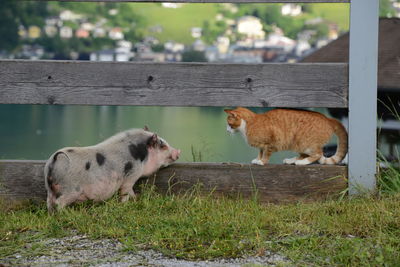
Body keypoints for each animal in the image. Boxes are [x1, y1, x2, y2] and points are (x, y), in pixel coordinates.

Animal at [44, 128, 180, 214]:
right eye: (163, 146)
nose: (178, 151)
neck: (140, 156)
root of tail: (53, 161)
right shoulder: (131, 176)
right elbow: (126, 192)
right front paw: (127, 203)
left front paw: (136, 199)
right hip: (70, 190)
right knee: (59, 202)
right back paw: (65, 214)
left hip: (50, 189)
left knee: (49, 202)